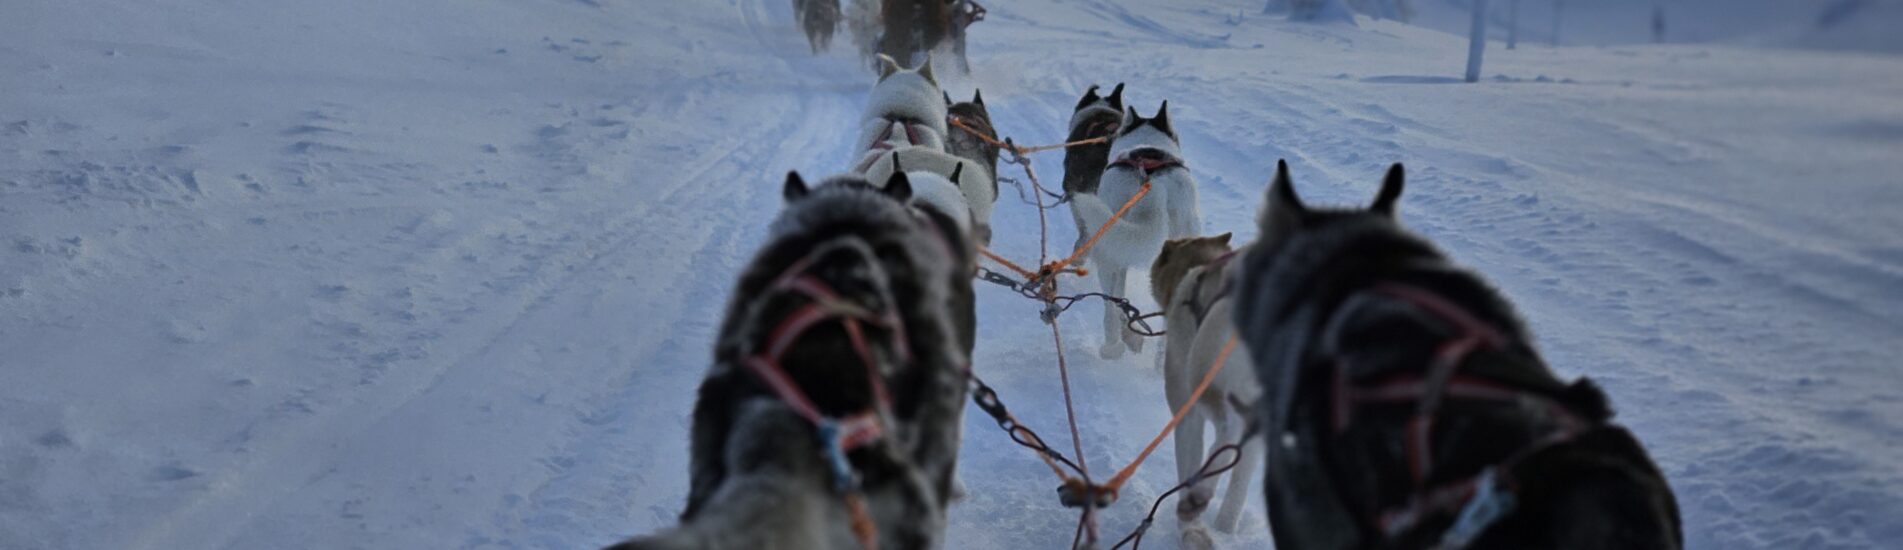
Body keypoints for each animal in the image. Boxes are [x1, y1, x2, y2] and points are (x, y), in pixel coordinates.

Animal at [1141, 232, 1263, 544]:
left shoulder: (1187, 414)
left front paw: (1192, 527)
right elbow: (1238, 485)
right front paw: (1225, 528)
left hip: (1203, 376)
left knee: (1224, 433)